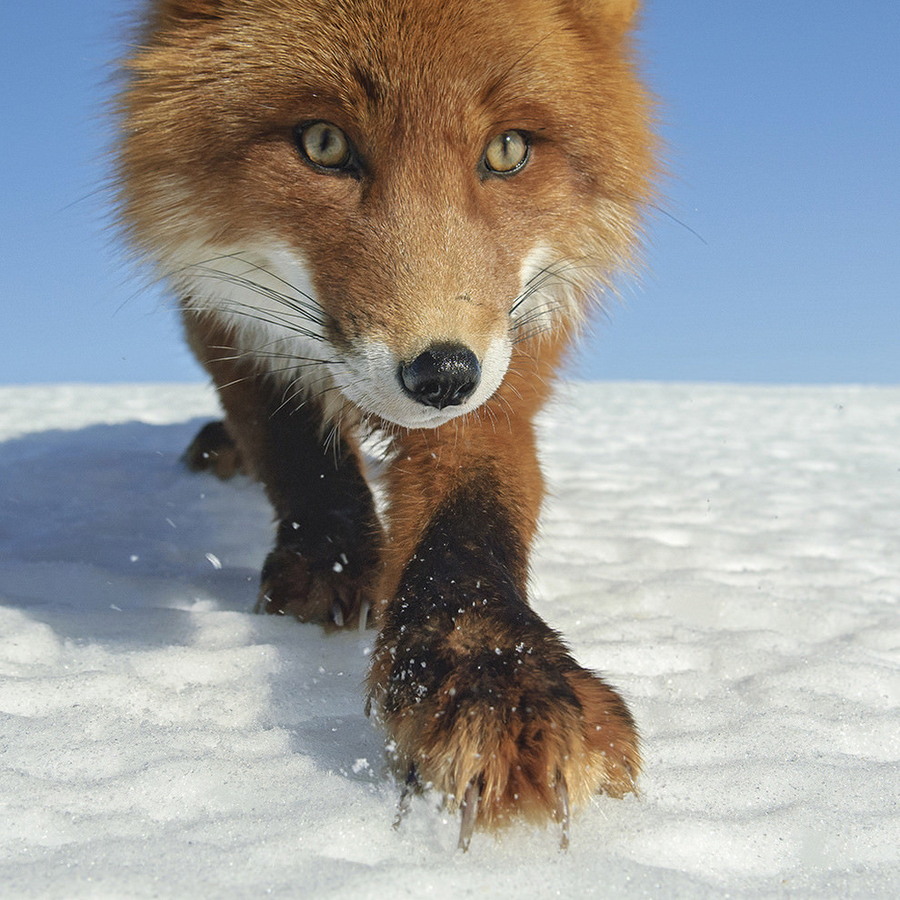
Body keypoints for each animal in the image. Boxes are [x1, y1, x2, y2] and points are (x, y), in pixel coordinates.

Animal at [118, 0, 652, 848]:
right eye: (324, 143)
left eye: (507, 150)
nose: (441, 375)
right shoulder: (220, 311)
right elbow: (293, 442)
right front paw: (330, 559)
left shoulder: (507, 355)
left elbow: (471, 521)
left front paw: (494, 671)